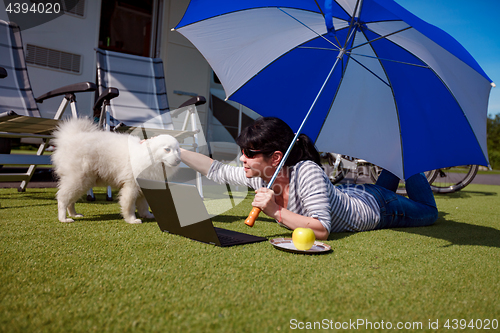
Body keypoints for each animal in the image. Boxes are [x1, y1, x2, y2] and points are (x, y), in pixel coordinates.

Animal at [51, 116, 181, 223]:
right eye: (167, 149)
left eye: (178, 150)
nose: (179, 160)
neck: (147, 158)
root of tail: (70, 138)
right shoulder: (131, 186)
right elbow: (129, 205)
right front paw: (131, 220)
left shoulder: (142, 189)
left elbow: (143, 205)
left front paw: (147, 215)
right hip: (78, 180)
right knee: (62, 198)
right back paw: (63, 218)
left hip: (83, 182)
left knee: (71, 201)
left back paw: (74, 214)